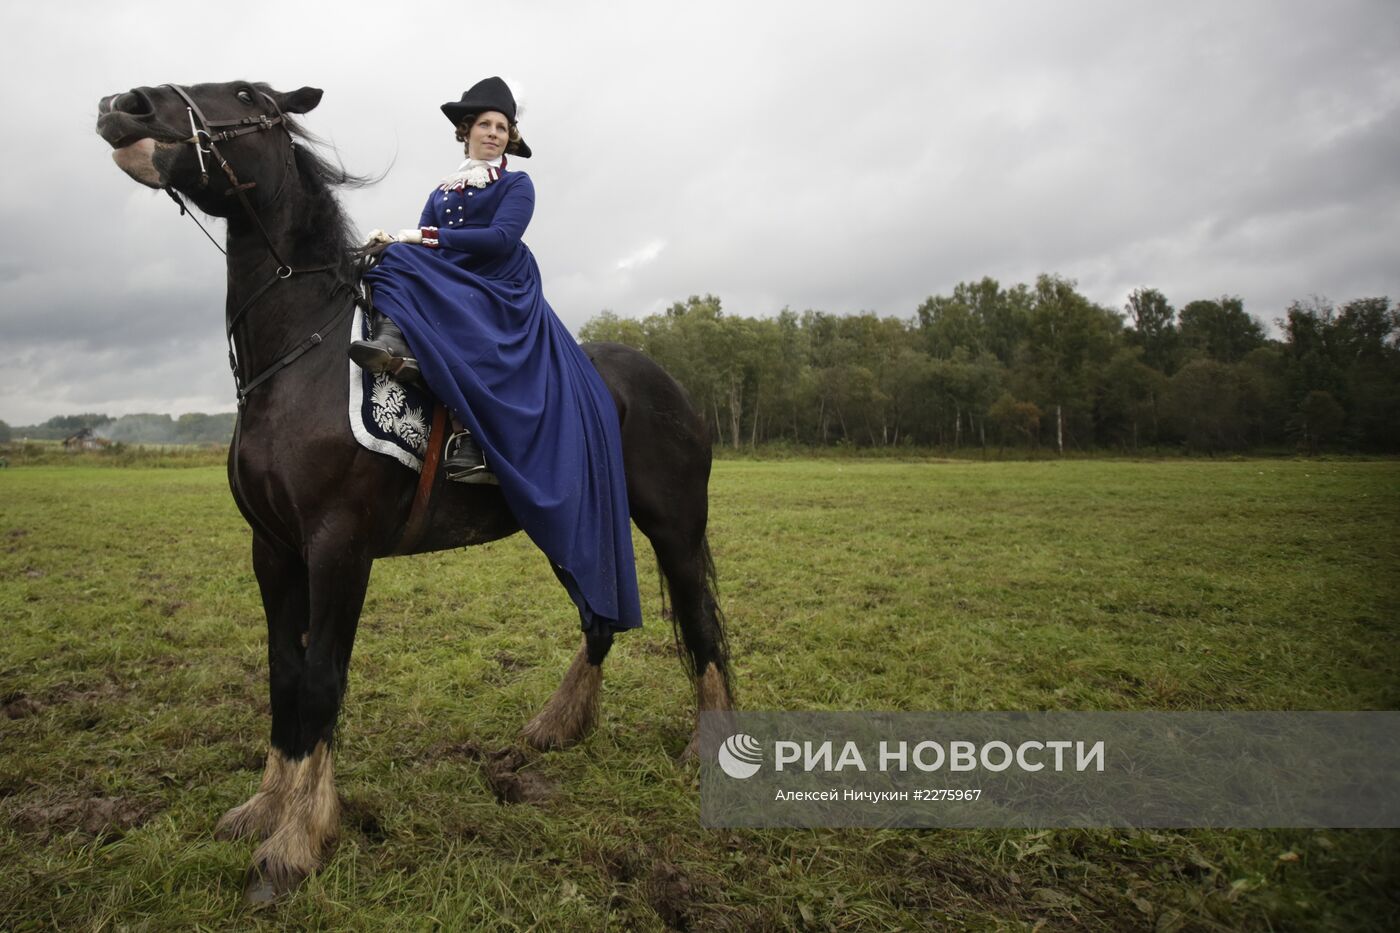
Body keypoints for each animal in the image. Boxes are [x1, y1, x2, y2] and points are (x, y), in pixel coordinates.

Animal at [94, 81, 739, 902]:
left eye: (245, 95)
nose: (127, 105)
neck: (300, 357)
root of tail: (669, 382)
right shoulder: (272, 550)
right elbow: (281, 674)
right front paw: (264, 807)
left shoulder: (339, 548)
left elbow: (320, 680)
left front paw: (296, 842)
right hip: (567, 524)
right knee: (600, 620)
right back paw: (554, 727)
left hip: (674, 527)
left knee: (702, 626)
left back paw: (704, 749)